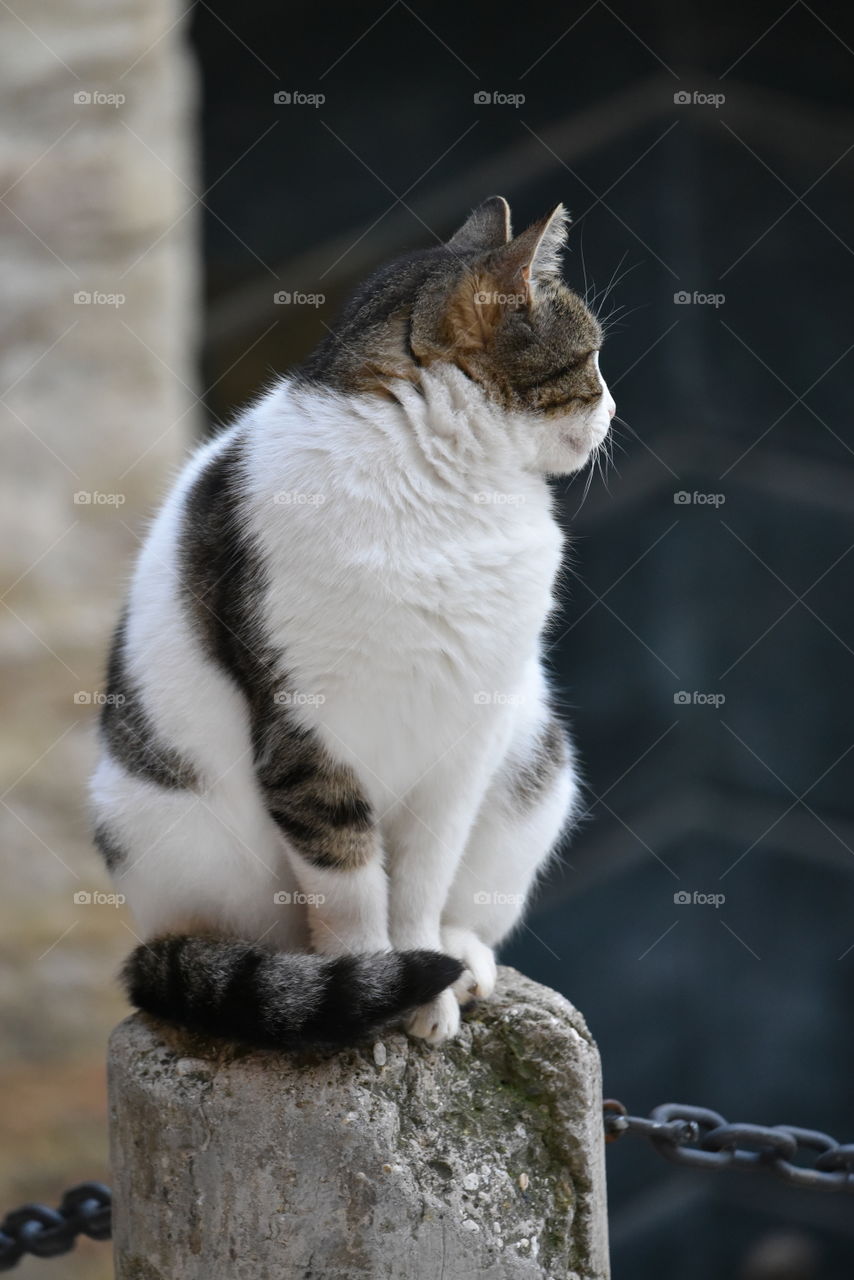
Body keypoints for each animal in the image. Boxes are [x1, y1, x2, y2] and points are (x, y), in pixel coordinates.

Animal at [90, 194, 614, 1044]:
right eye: (592, 359)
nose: (614, 408)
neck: (441, 489)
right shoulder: (306, 735)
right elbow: (350, 887)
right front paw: (374, 985)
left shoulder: (465, 739)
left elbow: (422, 882)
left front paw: (428, 984)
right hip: (163, 826)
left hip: (536, 763)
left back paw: (462, 959)